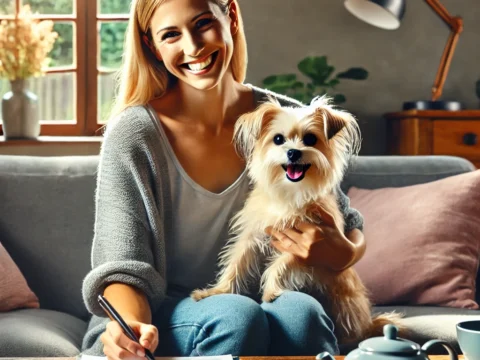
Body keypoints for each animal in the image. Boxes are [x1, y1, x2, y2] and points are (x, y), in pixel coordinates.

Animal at [190, 95, 402, 344]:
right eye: (278, 139)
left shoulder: (307, 246)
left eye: (310, 139)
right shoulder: (251, 237)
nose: (293, 152)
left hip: (344, 303)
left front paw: (271, 291)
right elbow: (235, 264)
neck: (290, 194)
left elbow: (279, 264)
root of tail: (368, 325)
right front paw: (217, 291)